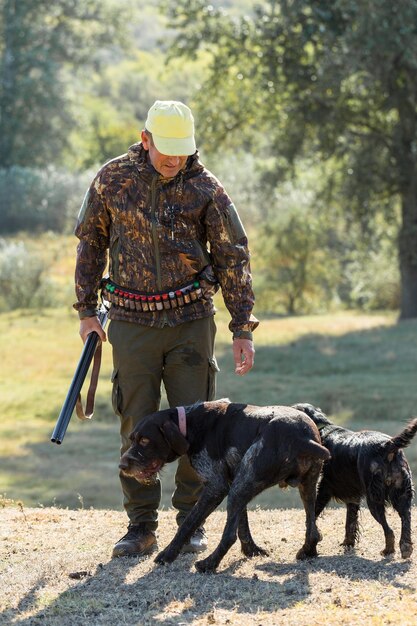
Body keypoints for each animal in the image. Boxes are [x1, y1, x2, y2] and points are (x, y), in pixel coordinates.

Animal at [292, 402, 416, 560]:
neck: (323, 430)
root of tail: (387, 445)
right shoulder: (353, 497)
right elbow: (350, 523)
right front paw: (348, 543)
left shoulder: (324, 489)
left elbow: (313, 515)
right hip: (402, 496)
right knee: (406, 520)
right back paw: (405, 548)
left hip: (374, 500)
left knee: (389, 531)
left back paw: (388, 550)